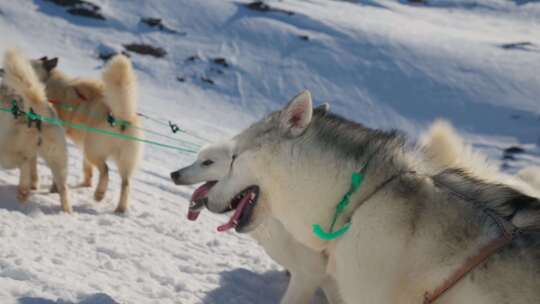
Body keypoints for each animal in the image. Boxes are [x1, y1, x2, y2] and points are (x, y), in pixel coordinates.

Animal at [0, 49, 70, 211]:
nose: (0, 70)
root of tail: (38, 110)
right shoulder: (34, 155)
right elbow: (34, 171)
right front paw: (34, 185)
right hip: (58, 160)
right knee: (63, 189)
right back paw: (66, 212)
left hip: (5, 154)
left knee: (23, 164)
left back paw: (23, 192)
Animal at [30, 54, 142, 213]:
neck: (48, 82)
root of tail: (121, 115)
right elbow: (86, 168)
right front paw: (85, 183)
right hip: (123, 161)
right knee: (126, 182)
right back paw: (120, 208)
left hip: (93, 150)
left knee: (105, 170)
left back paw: (99, 194)